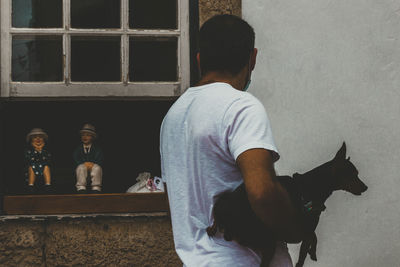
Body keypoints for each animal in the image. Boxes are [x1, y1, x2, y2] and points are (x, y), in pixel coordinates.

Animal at [208, 144, 368, 267]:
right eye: (353, 175)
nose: (366, 187)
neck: (313, 185)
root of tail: (226, 221)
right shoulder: (304, 231)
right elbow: (305, 252)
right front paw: (312, 252)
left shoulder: (306, 231)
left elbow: (313, 239)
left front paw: (313, 252)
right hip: (268, 243)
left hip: (223, 199)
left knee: (215, 212)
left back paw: (212, 227)